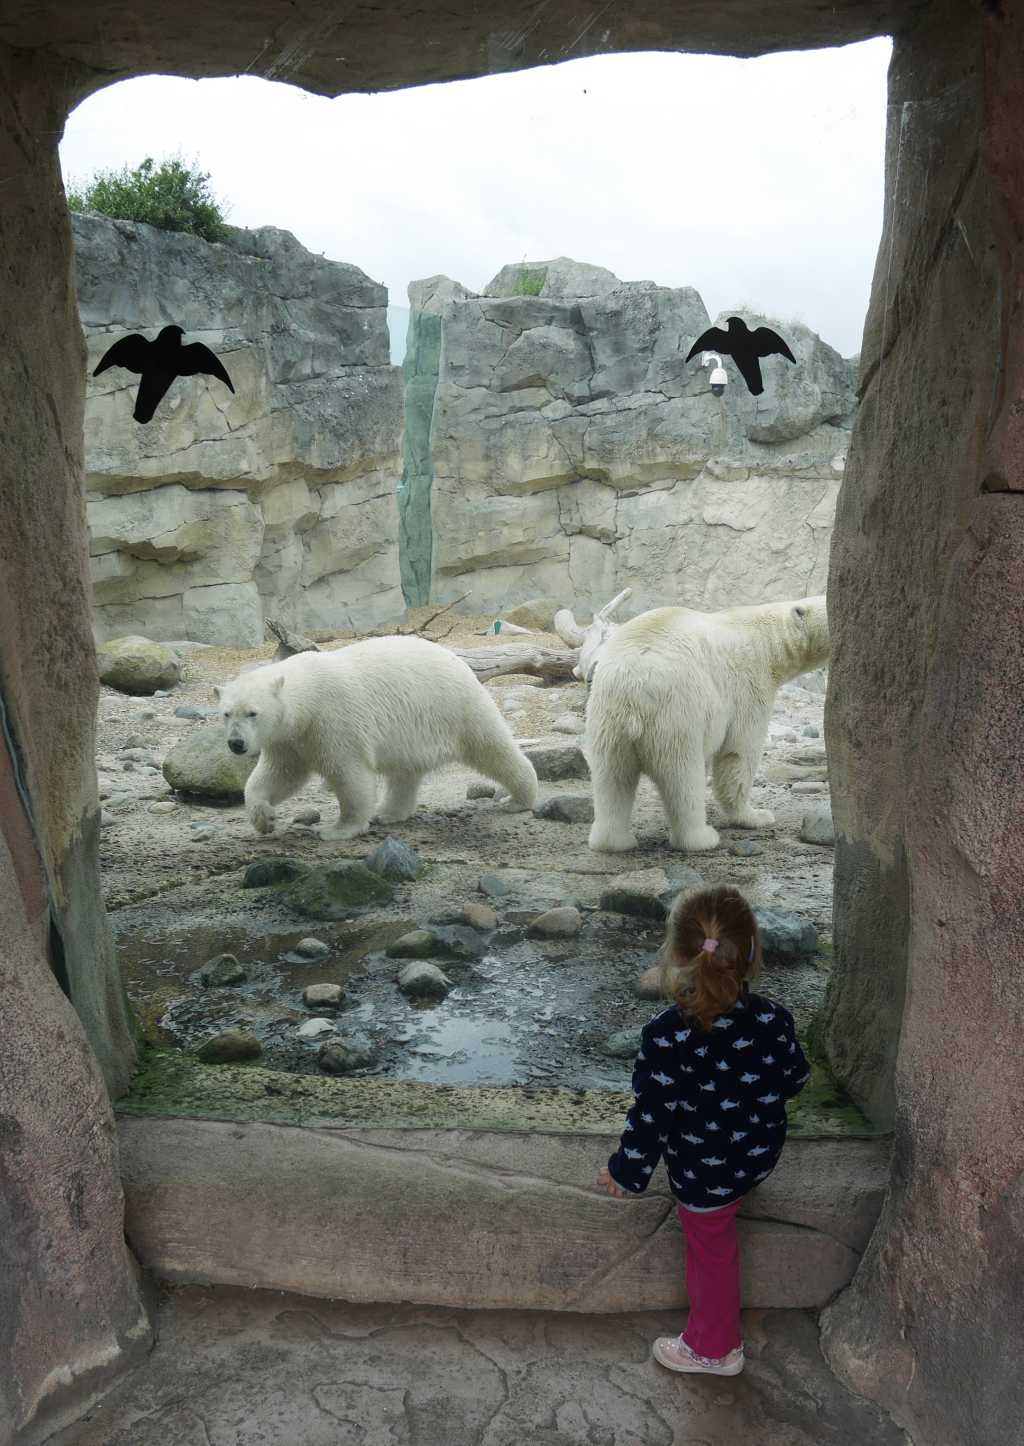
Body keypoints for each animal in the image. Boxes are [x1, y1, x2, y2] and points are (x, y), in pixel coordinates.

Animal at [212, 639, 540, 844]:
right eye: (226, 713)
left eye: (253, 712)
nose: (236, 743)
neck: (306, 696)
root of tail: (458, 661)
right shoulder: (289, 738)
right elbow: (281, 774)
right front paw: (265, 818)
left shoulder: (332, 720)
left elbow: (349, 773)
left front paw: (339, 830)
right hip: (413, 728)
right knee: (405, 772)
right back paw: (388, 813)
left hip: (456, 706)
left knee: (491, 747)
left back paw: (518, 798)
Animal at [587, 595, 827, 850]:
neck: (766, 639)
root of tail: (633, 688)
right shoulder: (748, 684)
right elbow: (738, 752)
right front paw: (756, 816)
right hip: (677, 713)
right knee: (682, 777)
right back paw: (701, 837)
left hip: (607, 722)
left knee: (611, 778)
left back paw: (613, 841)